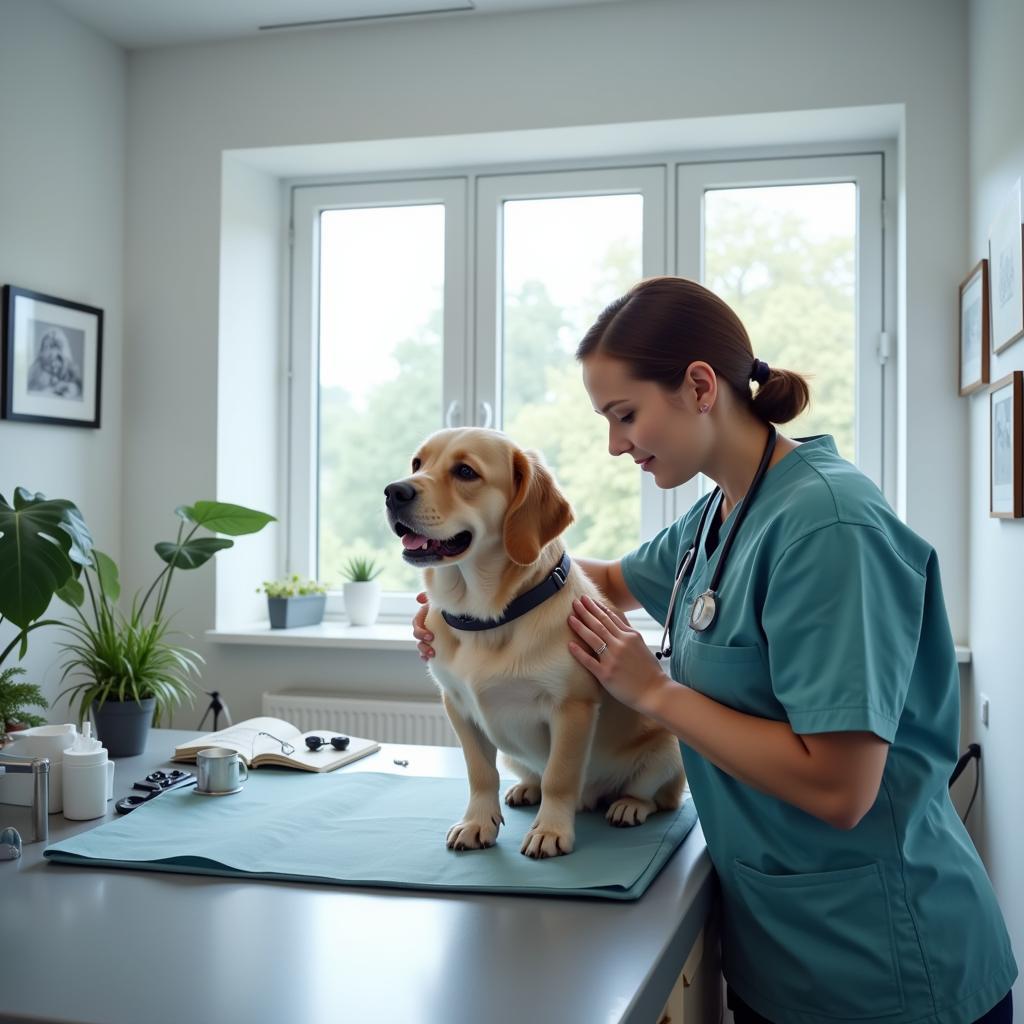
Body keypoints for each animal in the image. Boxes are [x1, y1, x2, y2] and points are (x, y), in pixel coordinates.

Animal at [387, 428, 684, 860]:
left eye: (465, 472)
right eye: (417, 463)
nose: (394, 492)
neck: (489, 617)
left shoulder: (572, 708)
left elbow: (559, 777)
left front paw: (551, 830)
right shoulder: (457, 706)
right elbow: (480, 773)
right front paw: (478, 822)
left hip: (667, 750)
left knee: (660, 797)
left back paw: (629, 805)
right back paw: (526, 788)